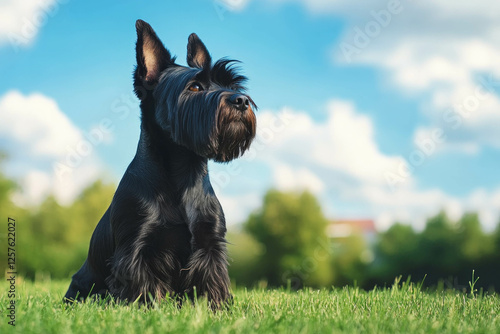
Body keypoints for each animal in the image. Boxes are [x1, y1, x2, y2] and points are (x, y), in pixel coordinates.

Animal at [64, 19, 256, 306]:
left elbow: (212, 281)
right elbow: (142, 285)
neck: (185, 172)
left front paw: (217, 308)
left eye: (233, 86)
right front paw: (146, 308)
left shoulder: (210, 243)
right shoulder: (137, 245)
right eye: (195, 87)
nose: (241, 100)